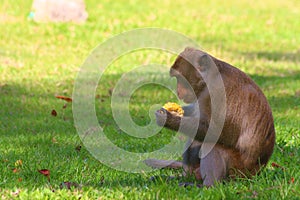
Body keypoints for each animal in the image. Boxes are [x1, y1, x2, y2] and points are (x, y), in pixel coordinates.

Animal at [146, 47, 276, 187]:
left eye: (180, 79)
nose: (178, 92)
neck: (210, 78)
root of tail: (256, 172)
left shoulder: (216, 92)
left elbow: (217, 131)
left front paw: (166, 119)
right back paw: (183, 178)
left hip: (238, 171)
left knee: (211, 144)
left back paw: (207, 185)